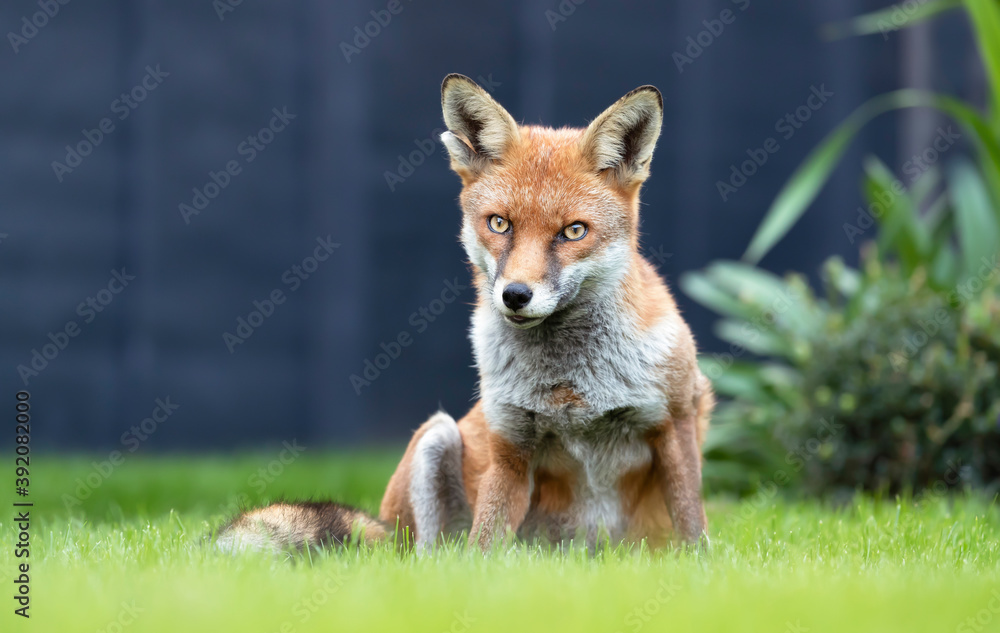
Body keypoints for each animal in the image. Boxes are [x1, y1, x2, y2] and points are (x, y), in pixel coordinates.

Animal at [217, 74, 714, 554]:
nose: (515, 295)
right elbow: (483, 548)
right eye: (500, 224)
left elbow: (693, 527)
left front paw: (699, 567)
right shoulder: (510, 443)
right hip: (434, 441)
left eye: (574, 232)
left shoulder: (675, 421)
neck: (572, 383)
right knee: (434, 558)